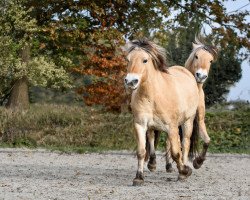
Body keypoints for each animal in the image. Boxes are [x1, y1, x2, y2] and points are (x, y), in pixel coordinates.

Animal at [123, 38, 199, 185]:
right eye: (128, 60)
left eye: (145, 60)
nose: (130, 81)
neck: (153, 95)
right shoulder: (140, 125)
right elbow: (141, 151)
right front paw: (138, 177)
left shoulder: (172, 126)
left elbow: (176, 152)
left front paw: (184, 172)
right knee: (157, 139)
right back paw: (155, 164)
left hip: (187, 121)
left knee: (185, 143)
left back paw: (184, 168)